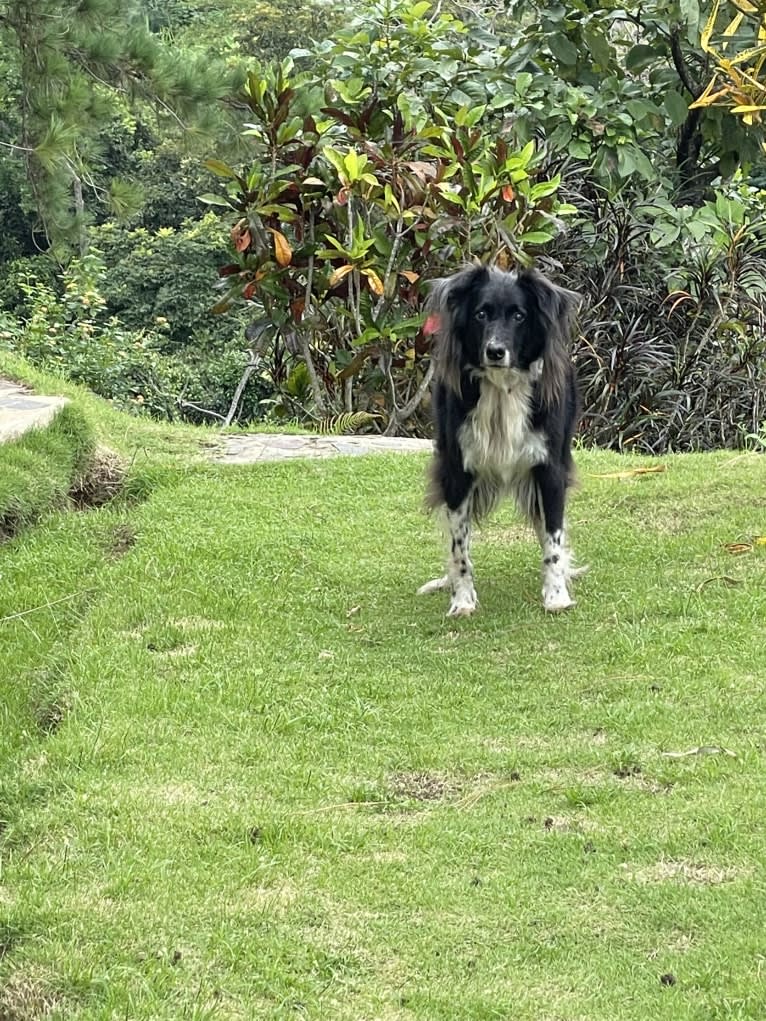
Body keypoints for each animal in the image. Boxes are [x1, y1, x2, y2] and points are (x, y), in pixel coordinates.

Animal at [420, 263, 588, 612]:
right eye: (481, 314)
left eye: (519, 316)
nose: (495, 351)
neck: (501, 388)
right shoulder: (457, 471)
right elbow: (459, 546)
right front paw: (462, 600)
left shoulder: (550, 469)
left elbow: (553, 538)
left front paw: (556, 595)